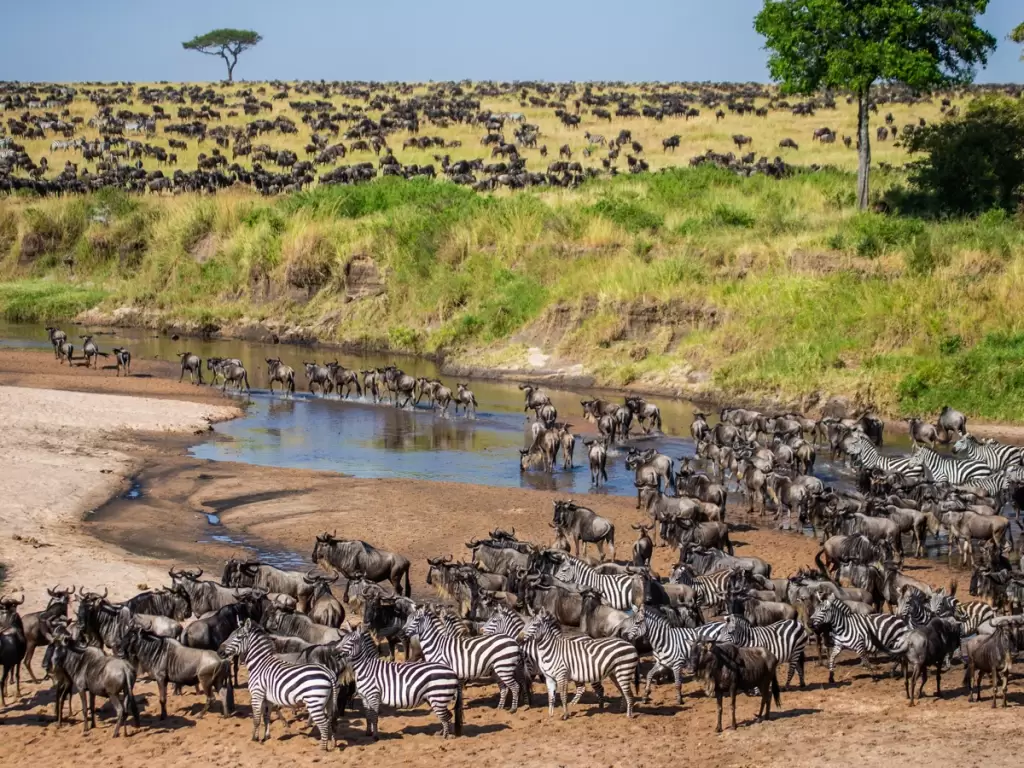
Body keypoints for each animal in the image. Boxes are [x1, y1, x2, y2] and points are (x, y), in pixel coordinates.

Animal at [221, 618, 339, 753]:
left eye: (239, 637)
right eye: (230, 634)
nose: (220, 651)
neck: (259, 664)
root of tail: (328, 672)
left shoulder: (257, 694)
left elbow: (256, 719)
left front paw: (254, 739)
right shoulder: (268, 698)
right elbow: (266, 717)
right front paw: (266, 737)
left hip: (314, 701)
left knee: (323, 724)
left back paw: (322, 749)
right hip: (329, 702)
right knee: (330, 720)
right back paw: (332, 744)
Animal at [335, 630, 464, 741]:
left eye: (351, 641)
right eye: (341, 639)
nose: (335, 653)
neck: (366, 668)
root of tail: (453, 672)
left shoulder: (373, 695)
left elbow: (374, 717)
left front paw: (375, 736)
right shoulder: (364, 697)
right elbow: (368, 716)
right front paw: (368, 733)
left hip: (438, 697)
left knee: (445, 716)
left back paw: (445, 737)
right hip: (435, 698)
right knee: (447, 715)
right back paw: (441, 733)